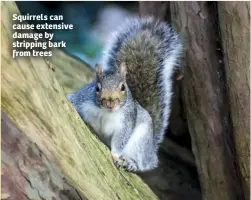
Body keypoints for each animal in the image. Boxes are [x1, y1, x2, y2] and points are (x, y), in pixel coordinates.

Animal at [67, 16, 182, 172]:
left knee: (141, 163)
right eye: (97, 88)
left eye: (123, 87)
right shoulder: (82, 99)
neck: (106, 112)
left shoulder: (126, 122)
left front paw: (115, 155)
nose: (110, 101)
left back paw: (131, 163)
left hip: (140, 142)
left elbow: (120, 140)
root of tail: (151, 153)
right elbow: (72, 101)